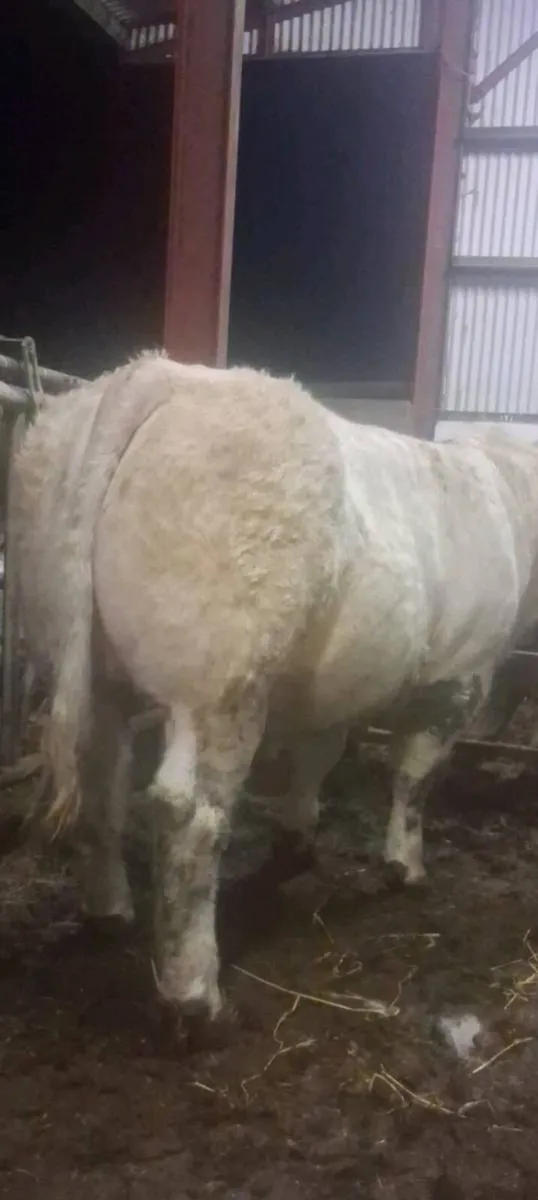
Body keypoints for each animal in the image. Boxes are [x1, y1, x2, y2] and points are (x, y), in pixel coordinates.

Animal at [11, 351, 538, 1023]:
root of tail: (155, 373)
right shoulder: (459, 675)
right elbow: (416, 778)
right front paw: (405, 865)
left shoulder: (336, 684)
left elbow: (318, 756)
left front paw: (298, 839)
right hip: (219, 679)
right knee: (190, 815)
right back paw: (195, 994)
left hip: (81, 655)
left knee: (102, 782)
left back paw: (110, 911)